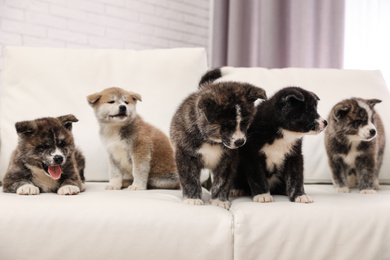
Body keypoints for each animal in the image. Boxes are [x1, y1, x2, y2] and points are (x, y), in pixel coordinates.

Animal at [171, 67, 268, 209]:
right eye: (227, 126)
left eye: (245, 122)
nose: (240, 142)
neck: (210, 140)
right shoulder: (185, 155)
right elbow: (189, 179)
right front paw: (192, 198)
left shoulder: (228, 159)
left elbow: (222, 181)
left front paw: (219, 200)